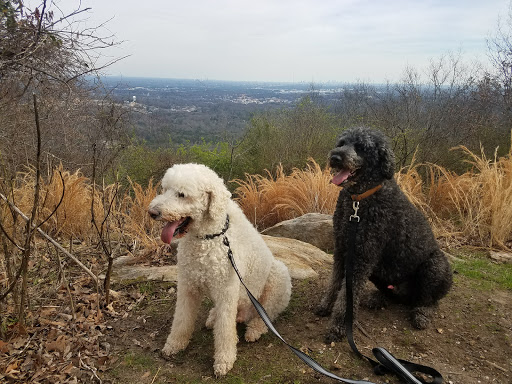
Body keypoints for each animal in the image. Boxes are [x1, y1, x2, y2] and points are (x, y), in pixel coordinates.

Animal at [148, 164, 292, 376]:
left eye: (182, 194)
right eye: (165, 189)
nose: (152, 212)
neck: (209, 237)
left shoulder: (227, 291)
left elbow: (225, 330)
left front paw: (224, 360)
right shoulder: (187, 286)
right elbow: (181, 319)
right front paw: (174, 345)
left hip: (278, 275)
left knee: (267, 314)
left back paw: (254, 329)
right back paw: (213, 317)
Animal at [316, 126, 452, 342]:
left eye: (362, 147)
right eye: (342, 143)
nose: (335, 157)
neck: (358, 200)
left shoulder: (361, 257)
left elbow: (347, 296)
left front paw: (338, 327)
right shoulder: (342, 249)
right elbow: (335, 282)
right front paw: (326, 305)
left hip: (435, 265)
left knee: (429, 300)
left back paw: (421, 313)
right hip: (380, 271)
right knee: (393, 296)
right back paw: (377, 298)